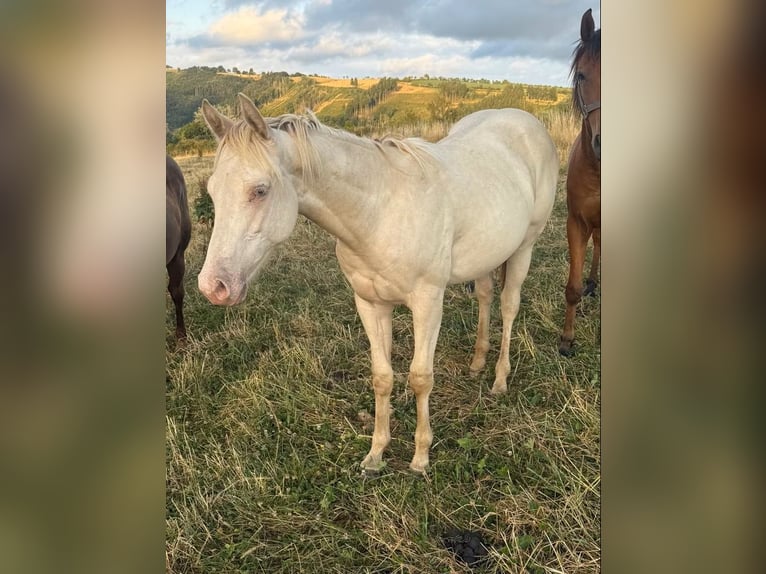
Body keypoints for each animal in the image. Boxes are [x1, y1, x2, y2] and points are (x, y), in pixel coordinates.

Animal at [198, 93, 558, 473]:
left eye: (260, 190)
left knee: (509, 306)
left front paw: (420, 456)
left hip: (524, 248)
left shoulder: (428, 303)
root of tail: (524, 120)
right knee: (486, 298)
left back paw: (500, 379)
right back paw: (477, 363)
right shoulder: (370, 304)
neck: (379, 212)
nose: (213, 286)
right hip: (487, 255)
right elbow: (382, 377)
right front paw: (376, 454)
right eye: (212, 191)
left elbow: (420, 377)